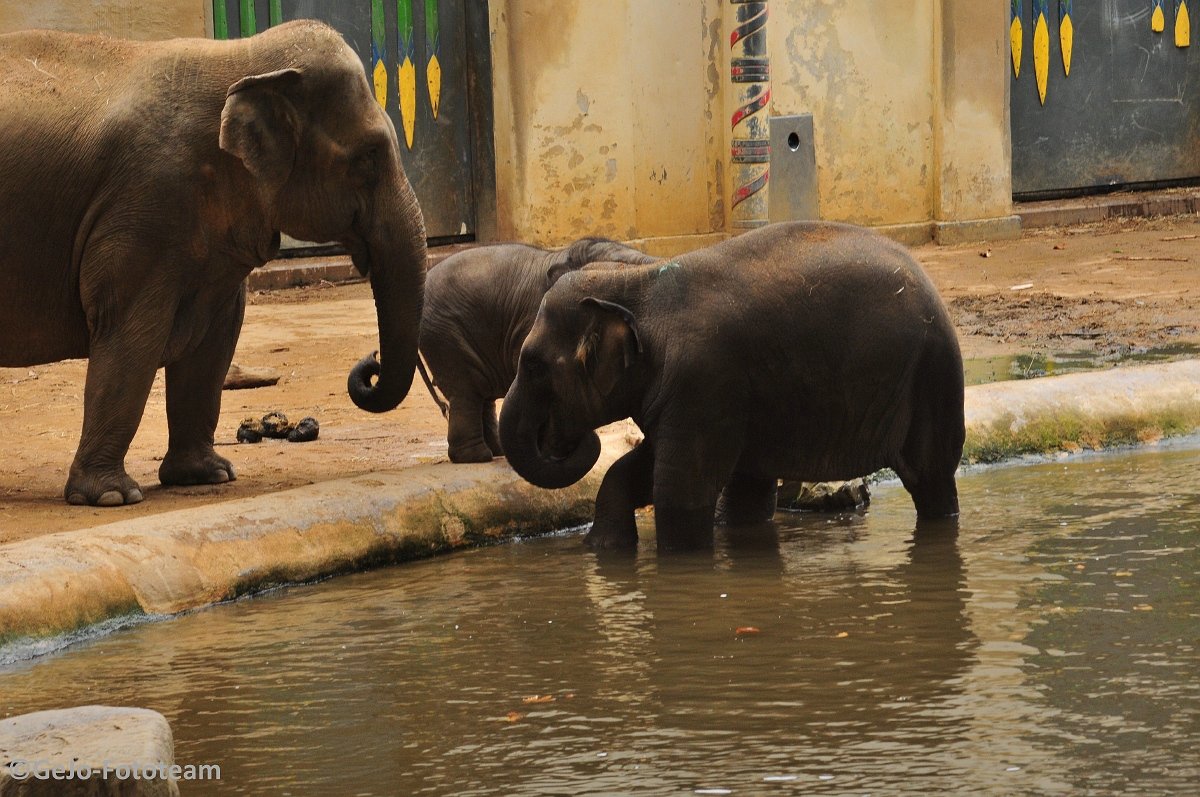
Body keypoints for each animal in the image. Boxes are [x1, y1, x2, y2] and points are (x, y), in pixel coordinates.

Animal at [0, 21, 427, 506]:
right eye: (368, 157)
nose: (370, 363)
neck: (241, 57)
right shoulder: (144, 207)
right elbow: (132, 335)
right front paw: (111, 497)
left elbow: (216, 339)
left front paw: (209, 476)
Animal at [415, 236, 657, 460]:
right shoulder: (536, 319)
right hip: (444, 333)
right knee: (466, 389)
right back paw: (477, 457)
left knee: (481, 393)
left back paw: (497, 451)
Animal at [496, 220, 964, 552]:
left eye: (533, 365)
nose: (574, 439)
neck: (640, 282)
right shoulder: (685, 392)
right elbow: (638, 468)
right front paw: (601, 550)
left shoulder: (702, 379)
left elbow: (677, 491)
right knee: (751, 486)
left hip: (932, 376)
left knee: (930, 475)